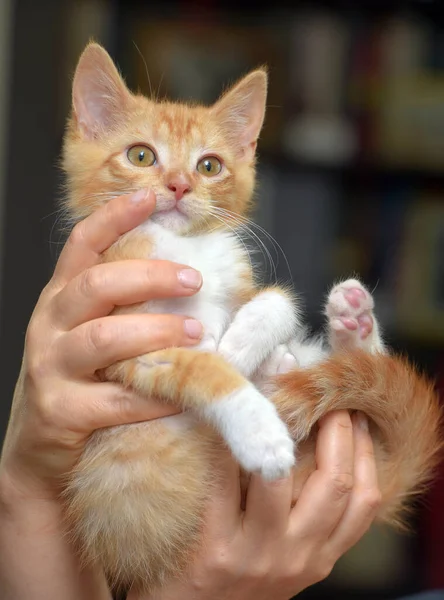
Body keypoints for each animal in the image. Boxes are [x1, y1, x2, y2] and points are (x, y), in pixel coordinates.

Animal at [62, 43, 440, 596]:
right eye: (140, 155)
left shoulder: (235, 280)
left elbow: (276, 301)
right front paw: (260, 432)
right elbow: (204, 369)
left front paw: (241, 345)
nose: (179, 186)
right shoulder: (129, 342)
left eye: (210, 165)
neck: (186, 248)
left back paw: (353, 326)